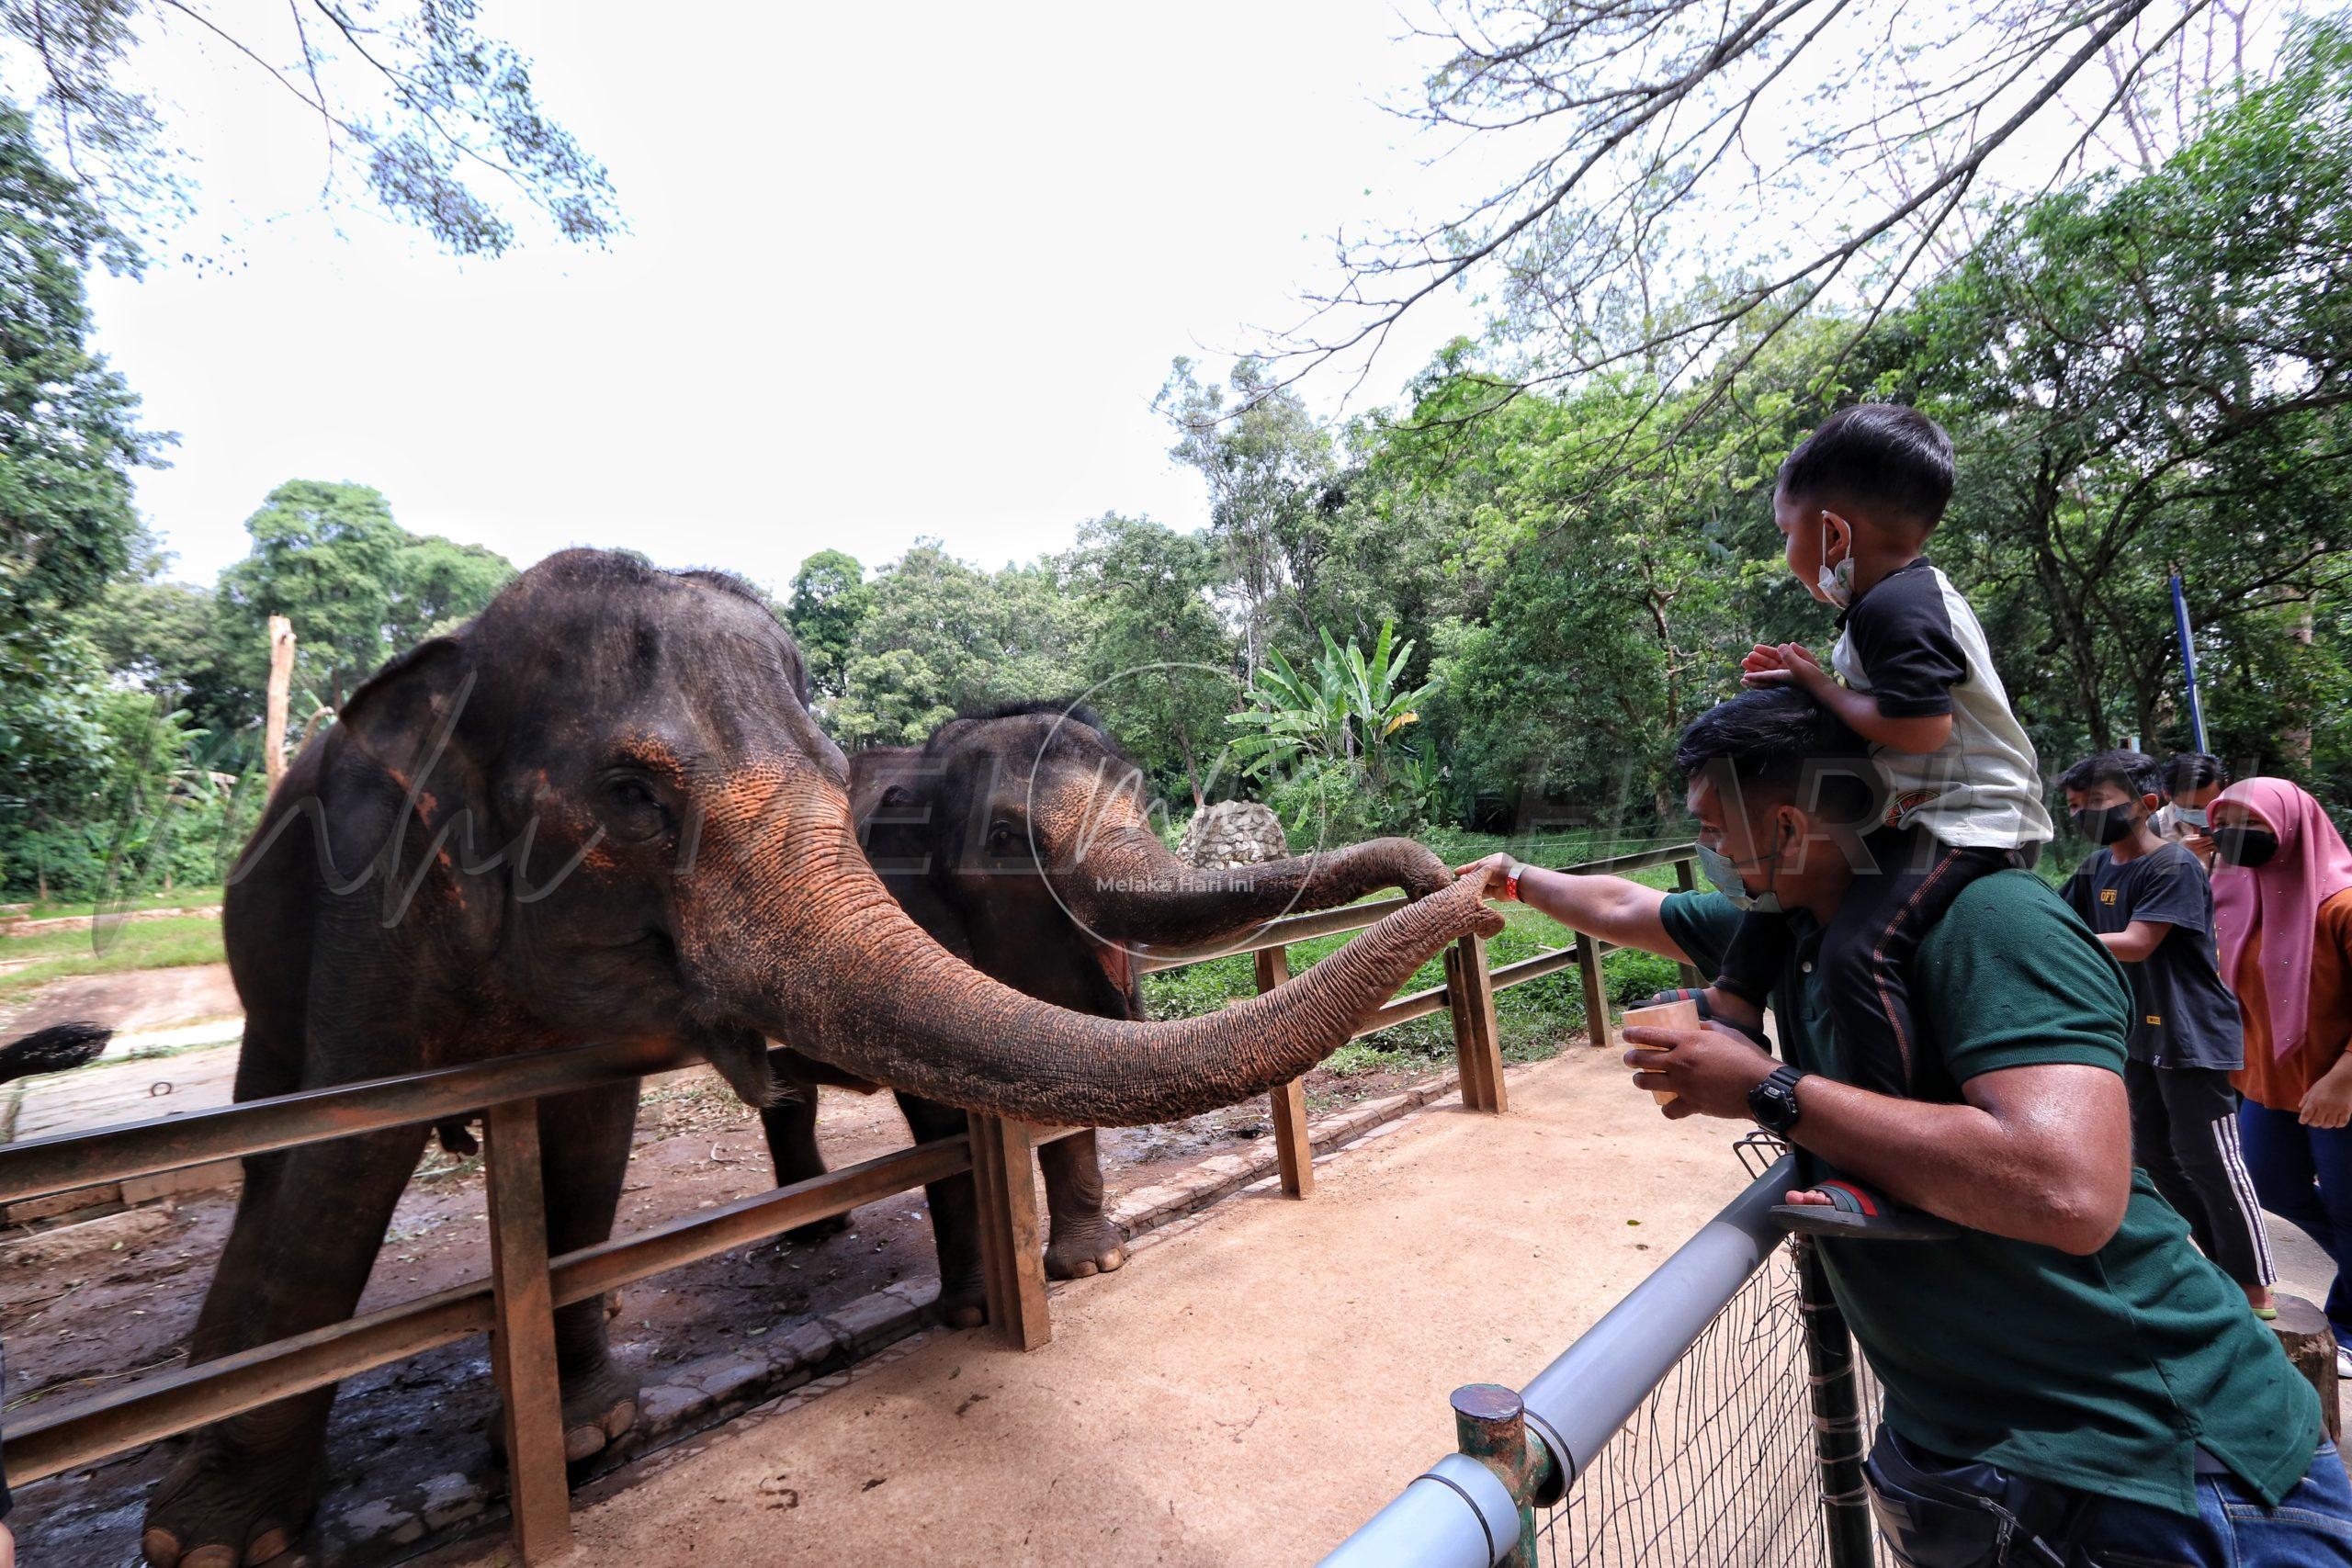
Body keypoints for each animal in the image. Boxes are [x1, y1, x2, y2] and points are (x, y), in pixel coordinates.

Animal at [762, 705, 1448, 1335]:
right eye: (1003, 838)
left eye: (1141, 807)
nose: (1437, 878)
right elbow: (943, 1124)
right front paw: (973, 1313)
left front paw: (1096, 1265)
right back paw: (817, 1228)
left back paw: (821, 1222)